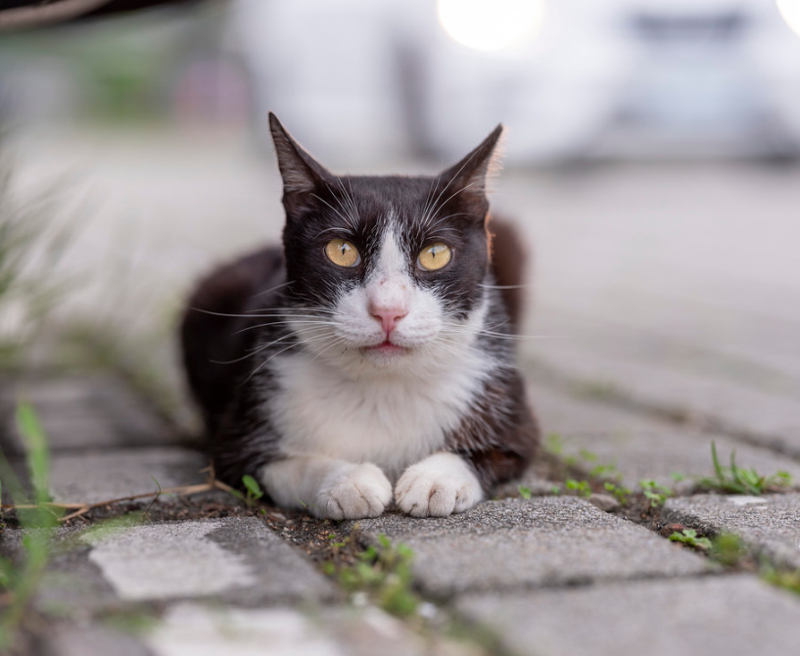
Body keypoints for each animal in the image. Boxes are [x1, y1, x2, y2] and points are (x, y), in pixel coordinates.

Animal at [182, 115, 540, 520]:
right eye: (342, 251)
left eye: (435, 254)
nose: (388, 310)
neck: (381, 389)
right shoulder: (241, 431)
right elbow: (281, 467)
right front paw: (348, 481)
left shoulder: (512, 416)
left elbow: (496, 453)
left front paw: (435, 479)